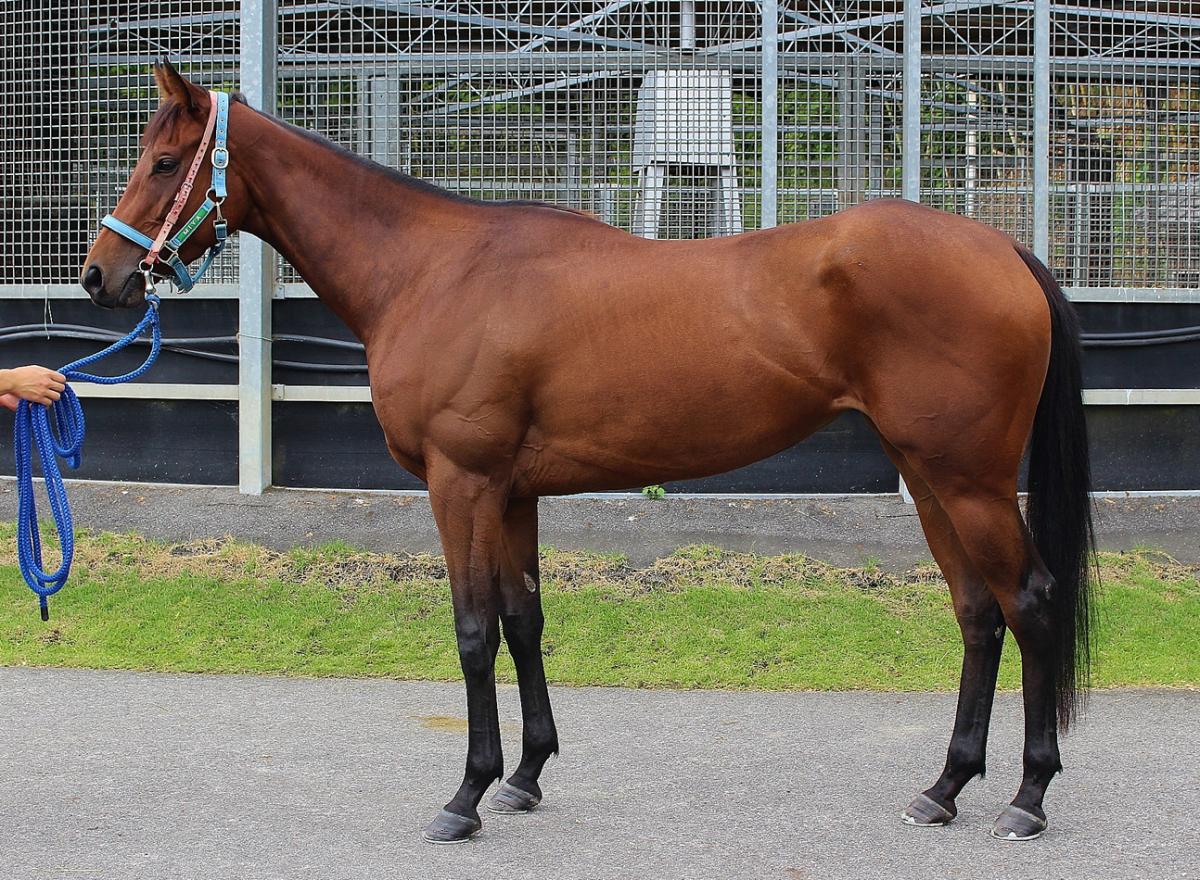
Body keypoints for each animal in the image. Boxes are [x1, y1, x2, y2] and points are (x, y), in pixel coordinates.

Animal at [81, 61, 1094, 845]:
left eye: (164, 160)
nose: (100, 274)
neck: (432, 271)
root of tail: (1002, 246)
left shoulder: (462, 486)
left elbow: (473, 631)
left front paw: (465, 796)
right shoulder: (514, 494)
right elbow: (524, 621)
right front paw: (525, 777)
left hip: (968, 482)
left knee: (1032, 602)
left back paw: (1028, 798)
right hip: (930, 478)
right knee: (978, 614)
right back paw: (944, 788)